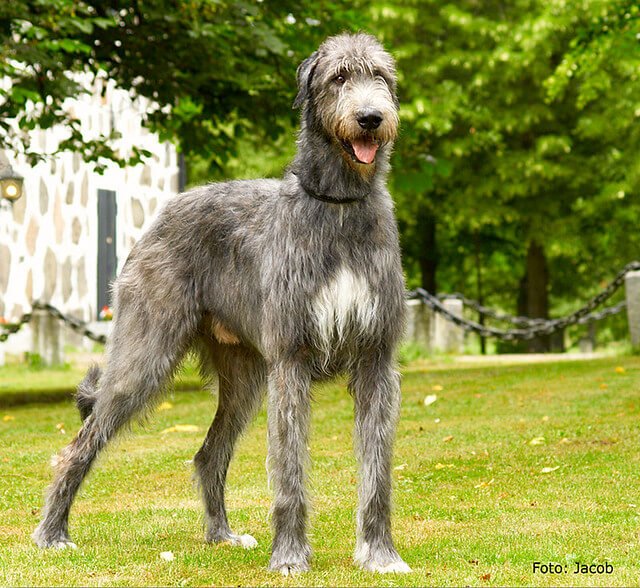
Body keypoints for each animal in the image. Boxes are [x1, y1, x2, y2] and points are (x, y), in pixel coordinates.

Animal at [32, 32, 410, 576]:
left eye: (379, 76)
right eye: (339, 77)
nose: (371, 118)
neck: (339, 206)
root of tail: (163, 212)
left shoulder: (377, 359)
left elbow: (377, 471)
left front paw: (380, 554)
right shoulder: (290, 360)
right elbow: (289, 469)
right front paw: (290, 556)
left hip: (245, 376)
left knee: (209, 455)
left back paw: (222, 535)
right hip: (144, 353)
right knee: (79, 444)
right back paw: (52, 533)